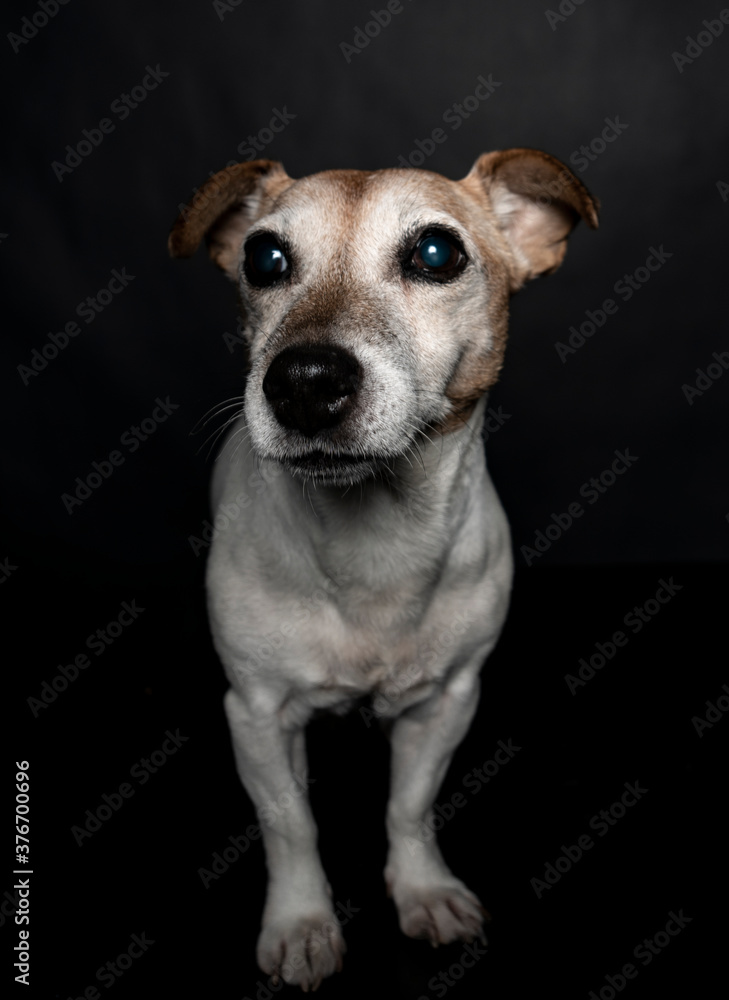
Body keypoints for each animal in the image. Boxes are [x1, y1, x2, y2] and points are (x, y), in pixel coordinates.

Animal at [171, 152, 596, 988]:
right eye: (263, 259)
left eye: (436, 253)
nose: (302, 380)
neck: (373, 542)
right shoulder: (255, 714)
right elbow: (290, 825)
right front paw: (301, 923)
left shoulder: (448, 701)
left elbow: (409, 806)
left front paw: (423, 890)